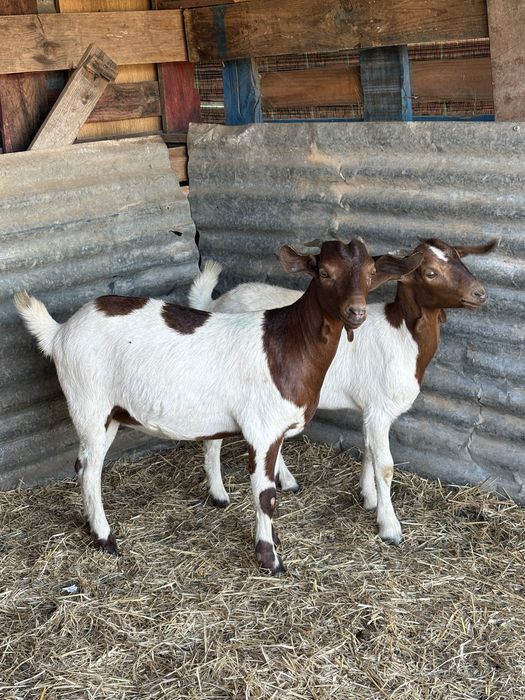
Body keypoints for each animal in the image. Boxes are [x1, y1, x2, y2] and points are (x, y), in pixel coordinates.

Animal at [14, 240, 421, 574]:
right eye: (324, 272)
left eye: (370, 273)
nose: (356, 313)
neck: (286, 343)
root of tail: (59, 332)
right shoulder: (262, 429)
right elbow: (265, 495)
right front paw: (269, 558)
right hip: (90, 404)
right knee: (88, 468)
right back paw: (104, 537)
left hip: (109, 411)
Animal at [189, 238, 497, 545]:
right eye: (430, 272)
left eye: (459, 259)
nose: (480, 293)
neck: (402, 335)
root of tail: (217, 303)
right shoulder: (380, 410)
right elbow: (385, 465)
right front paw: (390, 527)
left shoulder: (371, 409)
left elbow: (369, 450)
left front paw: (368, 497)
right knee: (213, 440)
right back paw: (219, 494)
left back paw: (286, 480)